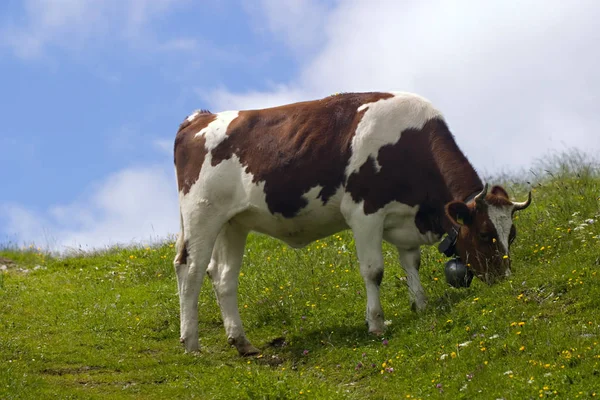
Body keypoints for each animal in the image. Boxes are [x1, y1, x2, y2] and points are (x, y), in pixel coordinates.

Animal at [171, 92, 532, 354]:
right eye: (485, 234)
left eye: (511, 234)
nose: (505, 278)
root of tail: (201, 117)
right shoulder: (364, 212)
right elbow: (374, 271)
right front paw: (376, 323)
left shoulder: (405, 218)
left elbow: (411, 263)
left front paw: (421, 304)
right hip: (201, 214)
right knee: (190, 268)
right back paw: (191, 343)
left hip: (234, 222)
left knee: (222, 276)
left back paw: (242, 342)